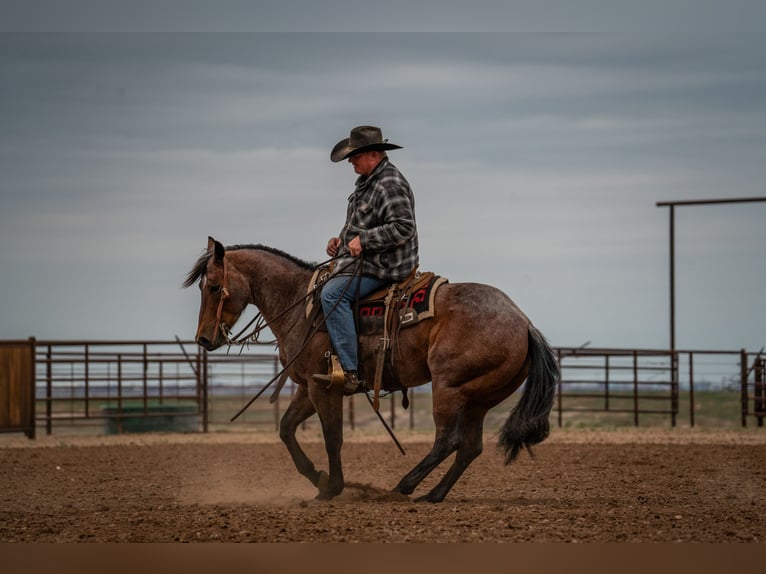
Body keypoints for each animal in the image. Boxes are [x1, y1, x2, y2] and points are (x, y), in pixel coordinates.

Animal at [184, 237, 560, 503]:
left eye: (214, 286)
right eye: (202, 287)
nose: (203, 338)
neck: (301, 304)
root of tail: (523, 322)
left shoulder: (326, 388)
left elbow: (333, 437)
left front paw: (332, 487)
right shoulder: (308, 386)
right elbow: (286, 429)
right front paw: (318, 478)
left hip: (449, 388)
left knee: (448, 440)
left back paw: (404, 485)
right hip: (479, 397)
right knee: (469, 447)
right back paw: (432, 495)